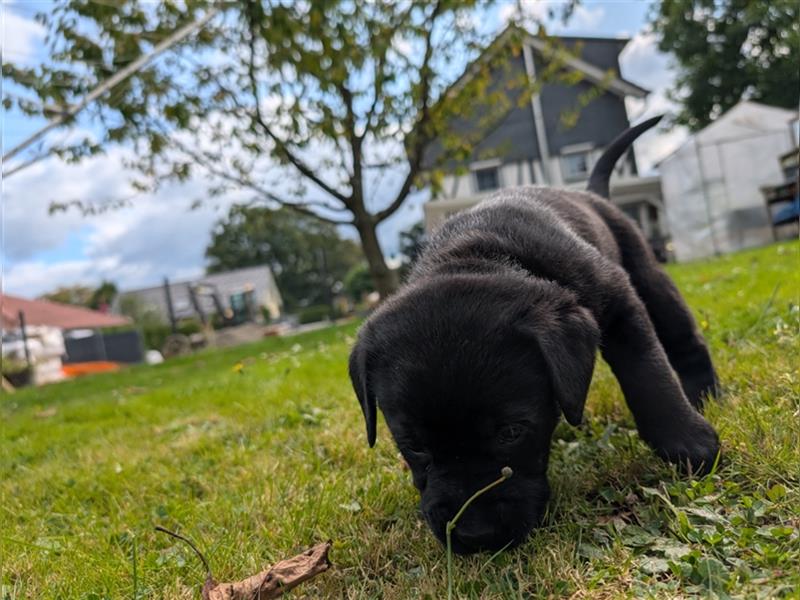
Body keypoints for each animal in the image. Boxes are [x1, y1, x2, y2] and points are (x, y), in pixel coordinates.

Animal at [346, 116, 720, 552]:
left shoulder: (620, 302)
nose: (475, 536)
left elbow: (648, 373)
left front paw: (687, 443)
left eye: (512, 432)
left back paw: (705, 395)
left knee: (684, 339)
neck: (477, 254)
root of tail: (590, 195)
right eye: (414, 445)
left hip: (648, 274)